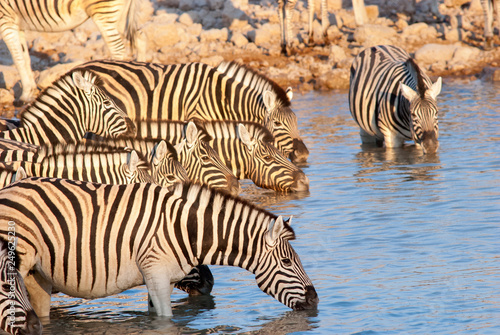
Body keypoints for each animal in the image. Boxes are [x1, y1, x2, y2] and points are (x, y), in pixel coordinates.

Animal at [0, 0, 146, 102]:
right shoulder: (18, 24)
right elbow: (25, 57)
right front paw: (30, 91)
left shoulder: (5, 19)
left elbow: (18, 59)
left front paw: (25, 95)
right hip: (121, 14)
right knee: (139, 37)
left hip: (103, 11)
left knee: (117, 48)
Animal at [0, 177, 320, 318]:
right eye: (288, 263)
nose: (316, 300)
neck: (182, 228)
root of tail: (10, 186)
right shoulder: (155, 274)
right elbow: (166, 322)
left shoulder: (155, 280)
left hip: (38, 275)